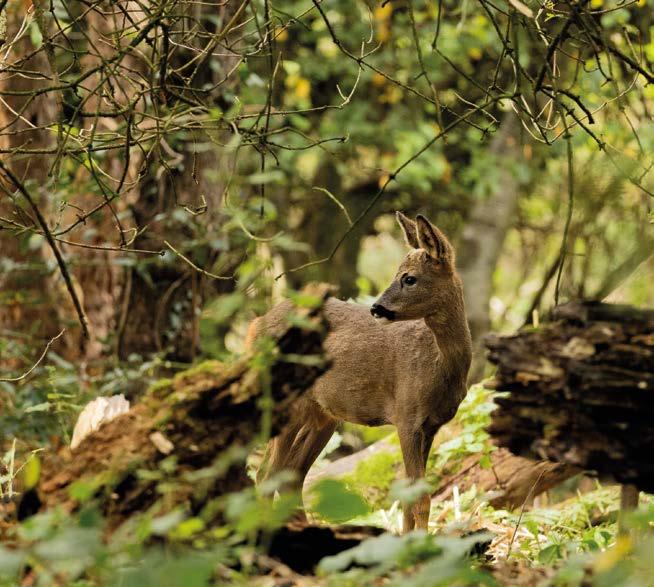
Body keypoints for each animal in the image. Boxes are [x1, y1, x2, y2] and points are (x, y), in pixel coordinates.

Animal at [251, 212, 472, 532]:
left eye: (409, 278)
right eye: (398, 273)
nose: (376, 308)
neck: (441, 367)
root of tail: (254, 325)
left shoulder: (431, 425)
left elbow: (410, 500)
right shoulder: (406, 416)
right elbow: (419, 499)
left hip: (322, 415)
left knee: (291, 475)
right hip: (286, 400)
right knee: (268, 473)